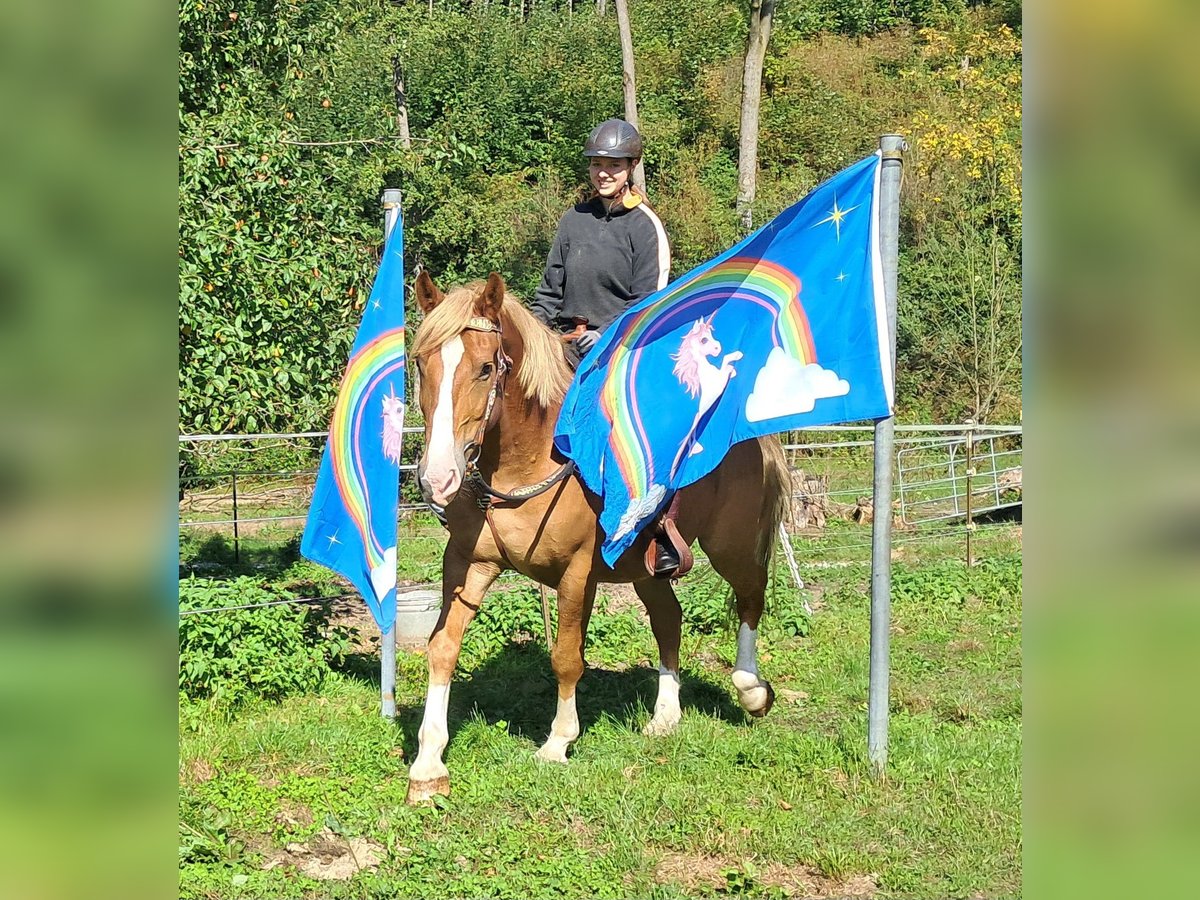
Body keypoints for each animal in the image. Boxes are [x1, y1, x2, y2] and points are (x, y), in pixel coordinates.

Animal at [408, 273, 792, 801]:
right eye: (421, 364)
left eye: (486, 368)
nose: (437, 478)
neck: (528, 459)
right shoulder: (469, 562)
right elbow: (442, 647)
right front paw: (428, 764)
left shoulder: (578, 571)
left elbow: (567, 657)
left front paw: (557, 743)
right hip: (648, 567)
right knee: (669, 620)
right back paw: (665, 717)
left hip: (731, 545)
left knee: (751, 599)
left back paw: (753, 691)